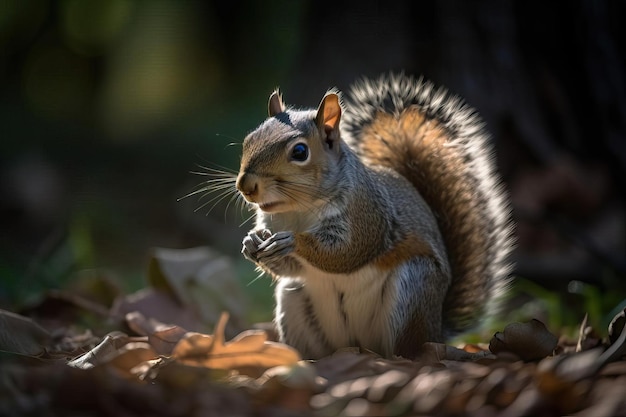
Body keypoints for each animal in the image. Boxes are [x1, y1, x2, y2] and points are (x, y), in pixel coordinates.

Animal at [234, 71, 512, 358]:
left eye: (299, 152)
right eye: (249, 140)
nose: (246, 186)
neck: (298, 209)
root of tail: (437, 331)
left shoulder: (366, 215)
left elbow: (347, 252)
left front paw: (291, 241)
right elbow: (291, 267)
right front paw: (251, 243)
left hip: (413, 289)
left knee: (405, 349)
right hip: (294, 300)